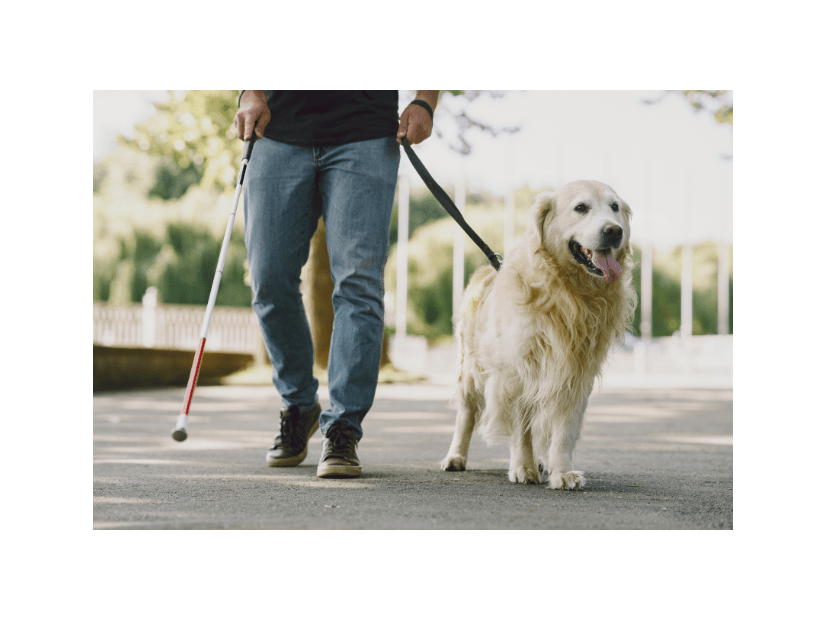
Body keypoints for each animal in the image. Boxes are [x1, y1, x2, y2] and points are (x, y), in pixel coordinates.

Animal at [440, 179, 636, 490]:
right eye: (581, 208)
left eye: (615, 207)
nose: (614, 231)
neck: (568, 293)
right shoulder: (516, 372)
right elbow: (520, 428)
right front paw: (523, 467)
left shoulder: (576, 374)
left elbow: (564, 431)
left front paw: (562, 472)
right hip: (471, 370)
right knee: (466, 415)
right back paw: (455, 457)